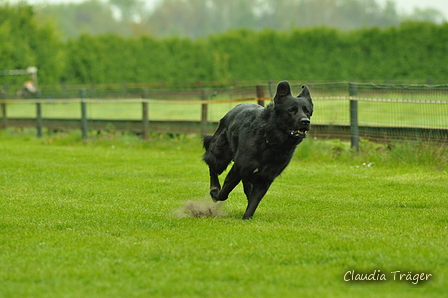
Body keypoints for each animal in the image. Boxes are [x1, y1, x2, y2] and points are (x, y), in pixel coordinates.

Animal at [202, 81, 312, 219]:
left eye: (307, 111)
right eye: (291, 110)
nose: (305, 121)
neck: (271, 141)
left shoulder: (266, 177)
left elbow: (255, 200)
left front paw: (247, 217)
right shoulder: (239, 168)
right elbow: (225, 191)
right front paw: (215, 194)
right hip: (220, 156)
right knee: (212, 166)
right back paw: (214, 188)